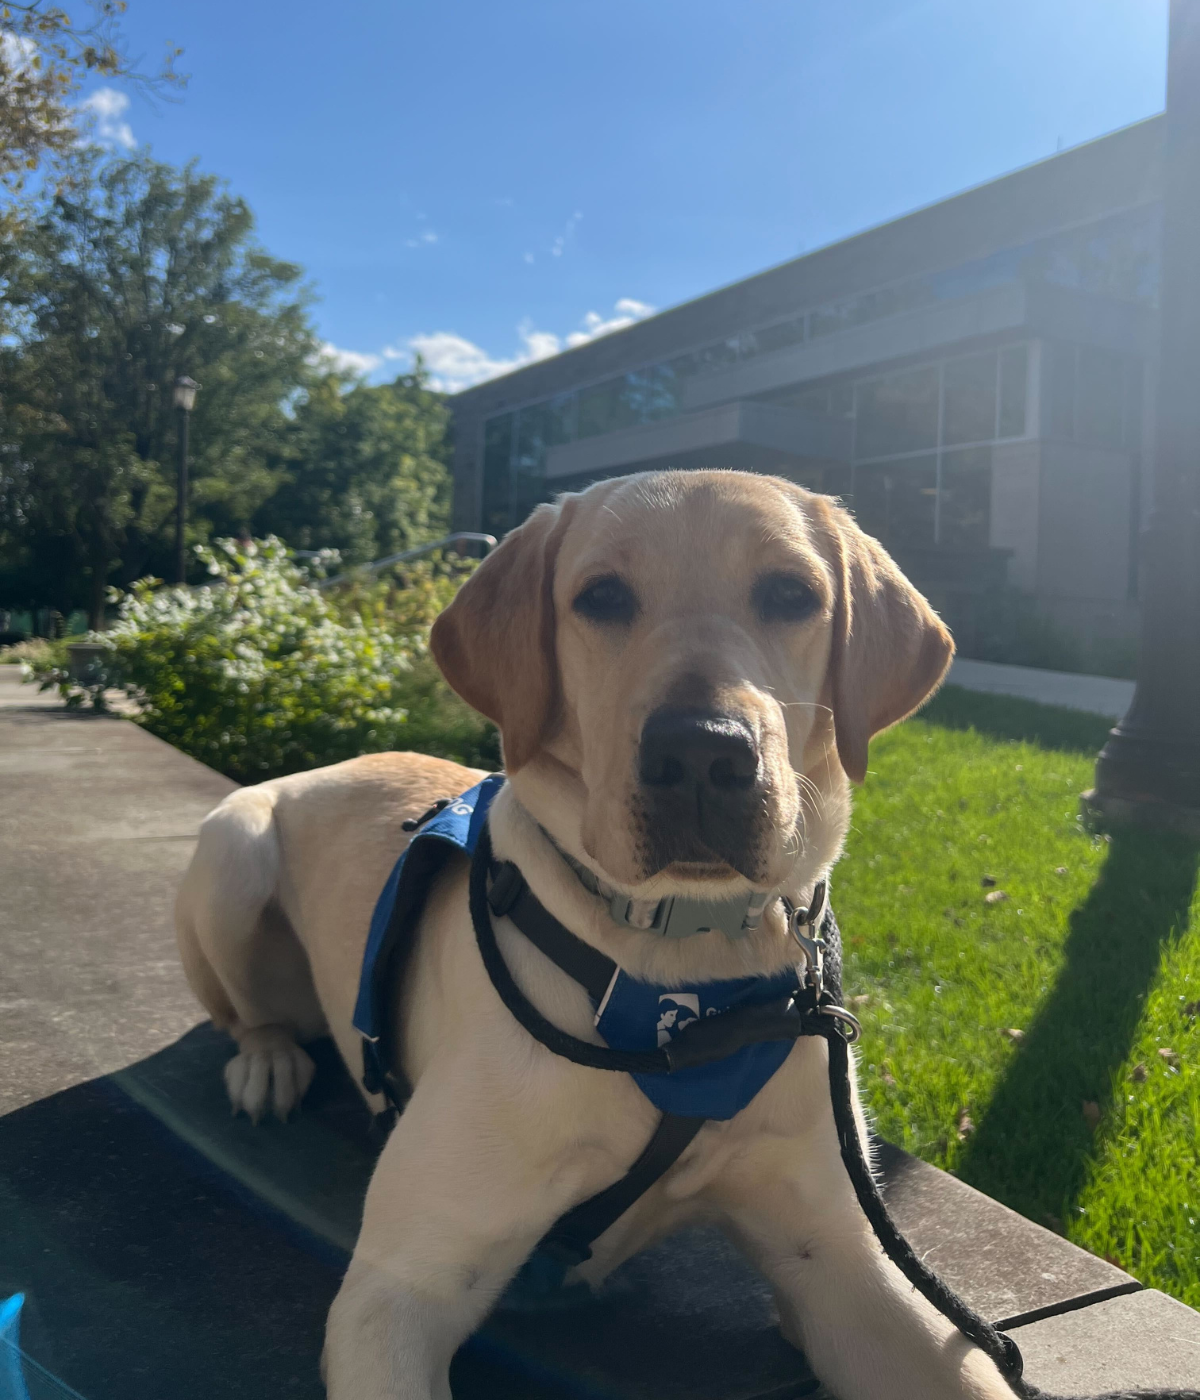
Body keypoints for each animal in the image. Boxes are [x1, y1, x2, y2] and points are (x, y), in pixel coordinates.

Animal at [172, 473, 1008, 1400]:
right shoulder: (400, 1287)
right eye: (601, 597)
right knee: (247, 1012)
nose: (702, 753)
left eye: (792, 594)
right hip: (234, 849)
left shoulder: (841, 1255)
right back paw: (268, 1062)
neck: (681, 975)